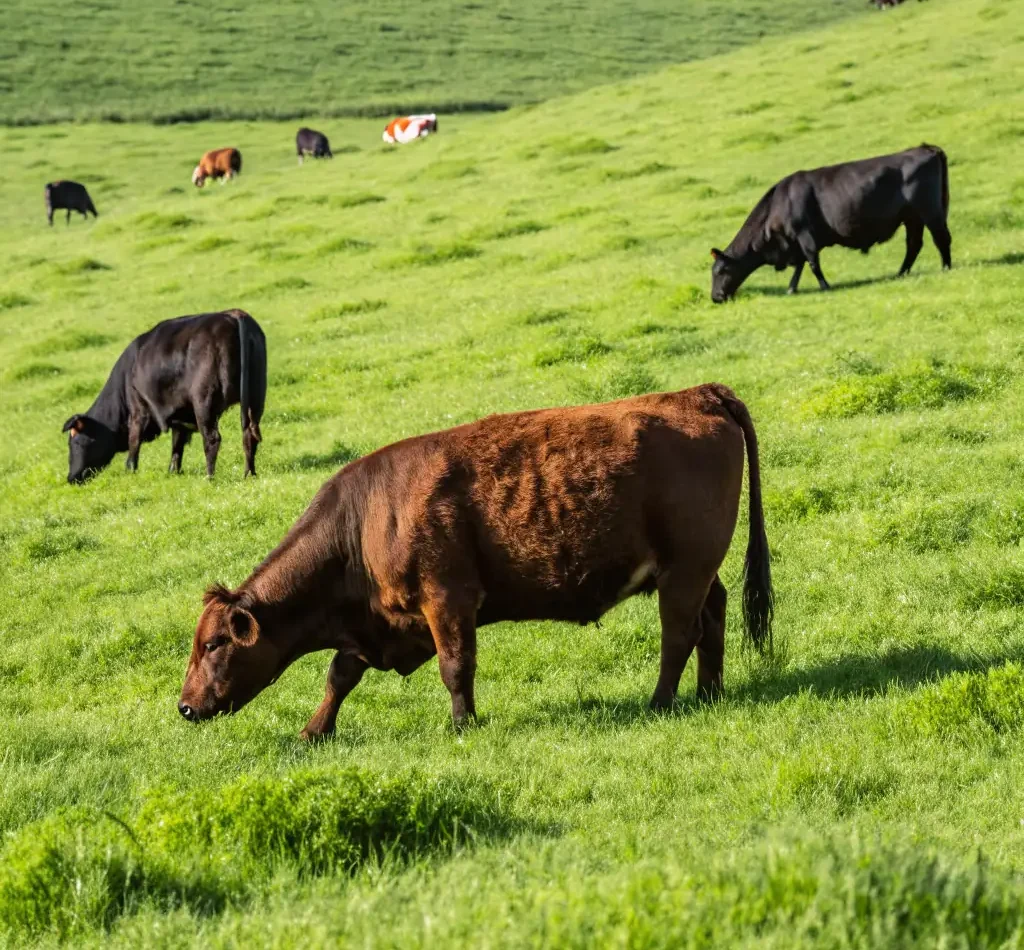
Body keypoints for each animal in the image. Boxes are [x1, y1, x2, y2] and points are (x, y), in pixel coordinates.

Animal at [62, 309, 266, 484]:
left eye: (75, 441)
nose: (71, 478)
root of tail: (234, 315)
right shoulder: (180, 415)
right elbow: (177, 445)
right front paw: (173, 471)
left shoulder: (139, 410)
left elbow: (134, 443)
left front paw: (130, 471)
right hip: (254, 397)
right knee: (249, 434)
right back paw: (249, 473)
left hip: (204, 403)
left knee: (212, 439)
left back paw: (209, 477)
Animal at [178, 383, 773, 740]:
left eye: (214, 644)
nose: (185, 706)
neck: (363, 522)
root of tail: (698, 394)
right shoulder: (384, 622)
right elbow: (339, 675)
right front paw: (313, 732)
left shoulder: (448, 599)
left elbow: (455, 666)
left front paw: (463, 725)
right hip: (699, 572)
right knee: (713, 616)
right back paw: (710, 692)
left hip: (684, 571)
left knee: (680, 633)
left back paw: (661, 701)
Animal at [710, 144, 951, 303]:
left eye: (719, 271)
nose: (715, 297)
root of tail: (925, 148)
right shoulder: (795, 241)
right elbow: (800, 265)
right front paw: (792, 289)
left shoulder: (804, 234)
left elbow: (812, 263)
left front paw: (824, 286)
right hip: (912, 218)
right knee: (914, 244)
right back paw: (901, 273)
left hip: (930, 211)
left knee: (941, 238)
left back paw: (946, 268)